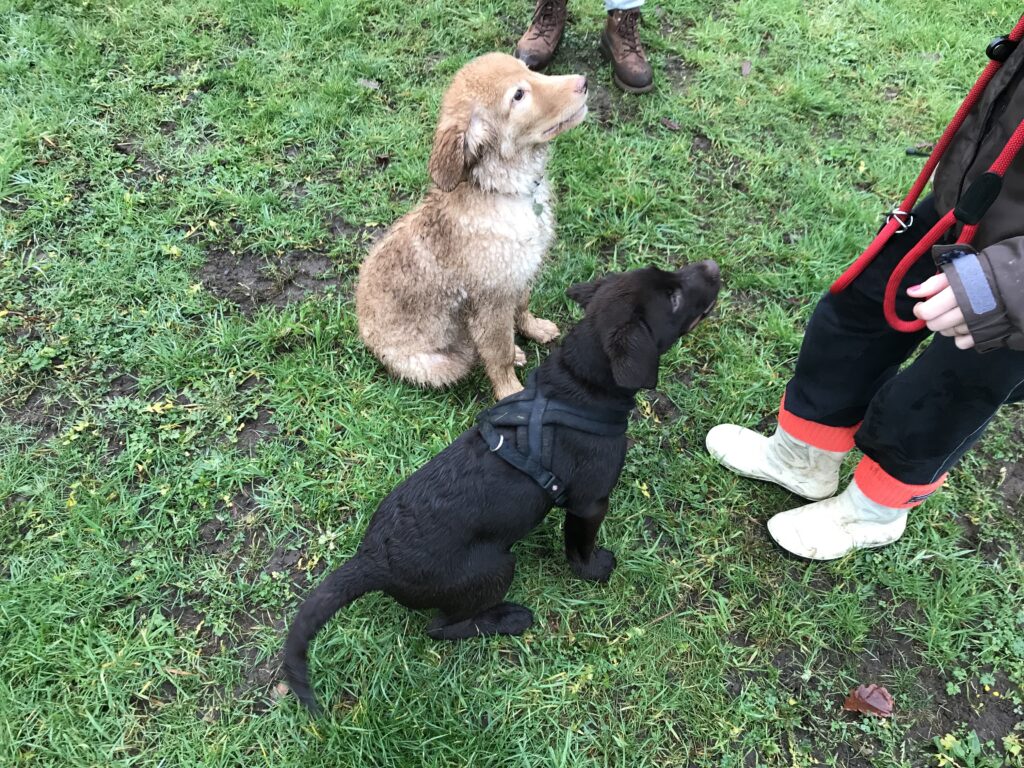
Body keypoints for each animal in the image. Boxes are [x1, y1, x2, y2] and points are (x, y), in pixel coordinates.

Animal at [284, 260, 720, 716]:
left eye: (669, 273)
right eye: (673, 299)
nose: (711, 266)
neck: (579, 390)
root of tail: (373, 561)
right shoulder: (589, 503)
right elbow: (580, 546)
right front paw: (594, 570)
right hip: (494, 567)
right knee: (441, 627)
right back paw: (508, 619)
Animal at [356, 53, 589, 399]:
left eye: (529, 69)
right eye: (518, 96)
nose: (583, 82)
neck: (505, 191)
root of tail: (363, 331)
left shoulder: (518, 277)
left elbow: (522, 306)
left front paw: (534, 329)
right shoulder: (491, 301)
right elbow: (498, 352)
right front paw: (511, 393)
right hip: (442, 363)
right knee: (471, 353)